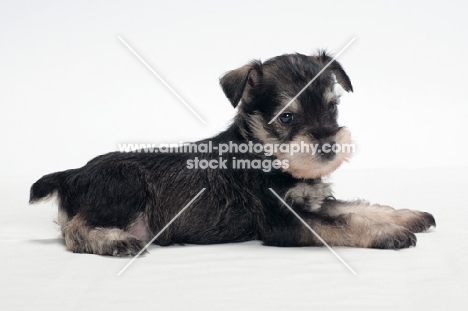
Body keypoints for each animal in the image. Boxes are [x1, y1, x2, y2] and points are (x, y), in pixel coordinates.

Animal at [31, 51, 436, 256]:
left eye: (332, 107)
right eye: (286, 117)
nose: (328, 145)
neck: (265, 154)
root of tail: (71, 174)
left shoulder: (314, 202)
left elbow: (358, 207)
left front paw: (406, 216)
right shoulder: (282, 221)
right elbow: (344, 224)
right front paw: (387, 234)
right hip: (124, 185)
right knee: (74, 229)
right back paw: (116, 241)